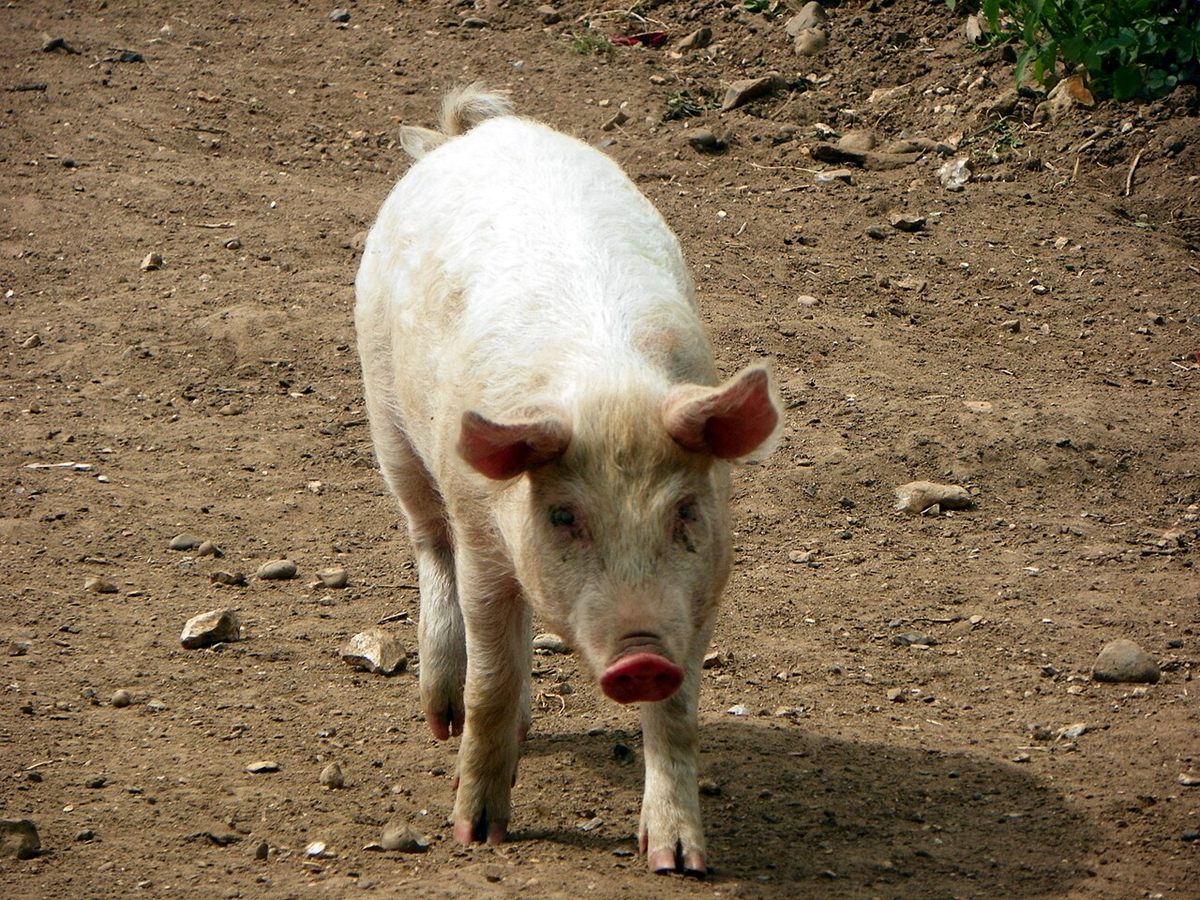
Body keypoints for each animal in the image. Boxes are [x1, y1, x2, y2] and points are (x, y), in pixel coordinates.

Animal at [354, 85, 783, 876]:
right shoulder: (484, 538)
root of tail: (472, 134)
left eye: (684, 510)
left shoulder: (705, 584)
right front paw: (476, 834)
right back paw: (441, 717)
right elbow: (491, 682)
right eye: (563, 516)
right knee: (428, 541)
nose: (640, 657)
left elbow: (678, 717)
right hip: (386, 414)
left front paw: (677, 860)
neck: (605, 391)